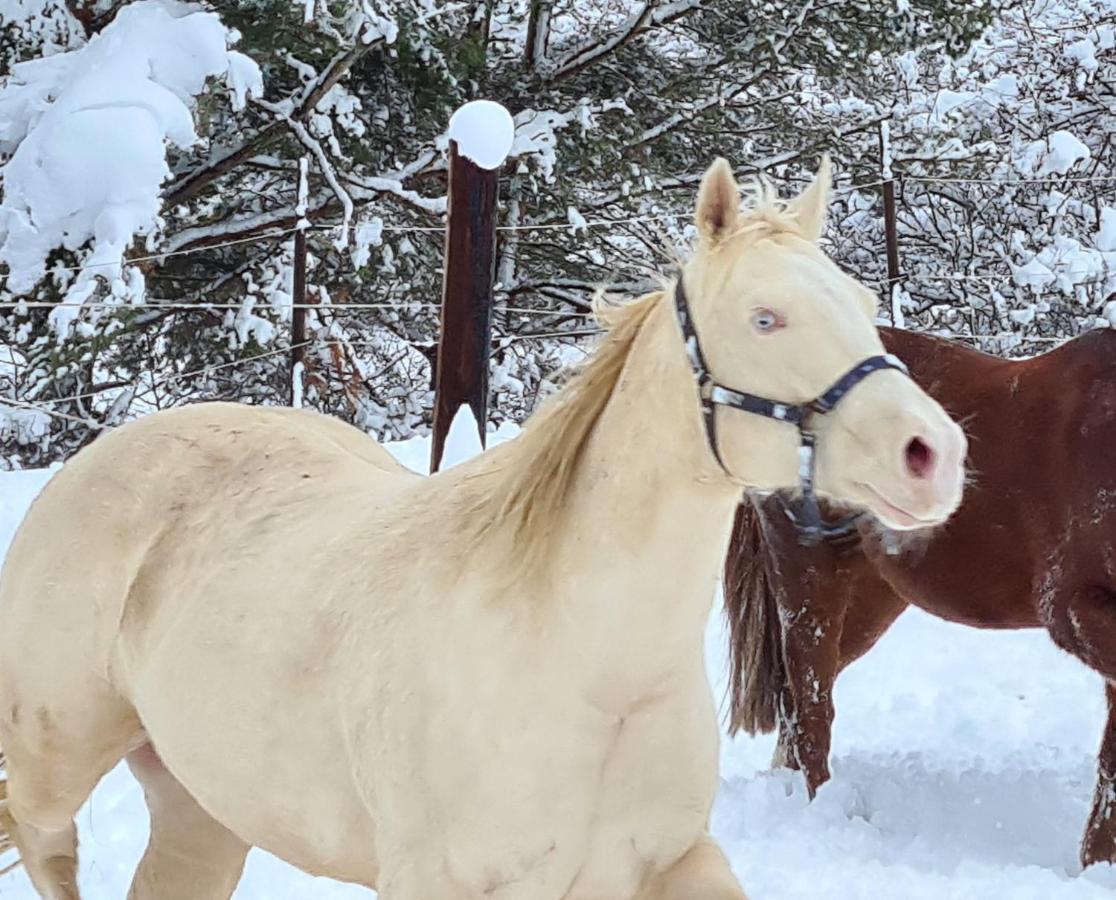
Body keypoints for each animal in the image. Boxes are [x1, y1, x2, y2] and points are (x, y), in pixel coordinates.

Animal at [0, 158, 959, 897]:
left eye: (860, 300)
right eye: (766, 317)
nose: (933, 453)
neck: (582, 665)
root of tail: (95, 460)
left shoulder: (671, 863)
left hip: (204, 805)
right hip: (55, 769)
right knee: (48, 850)